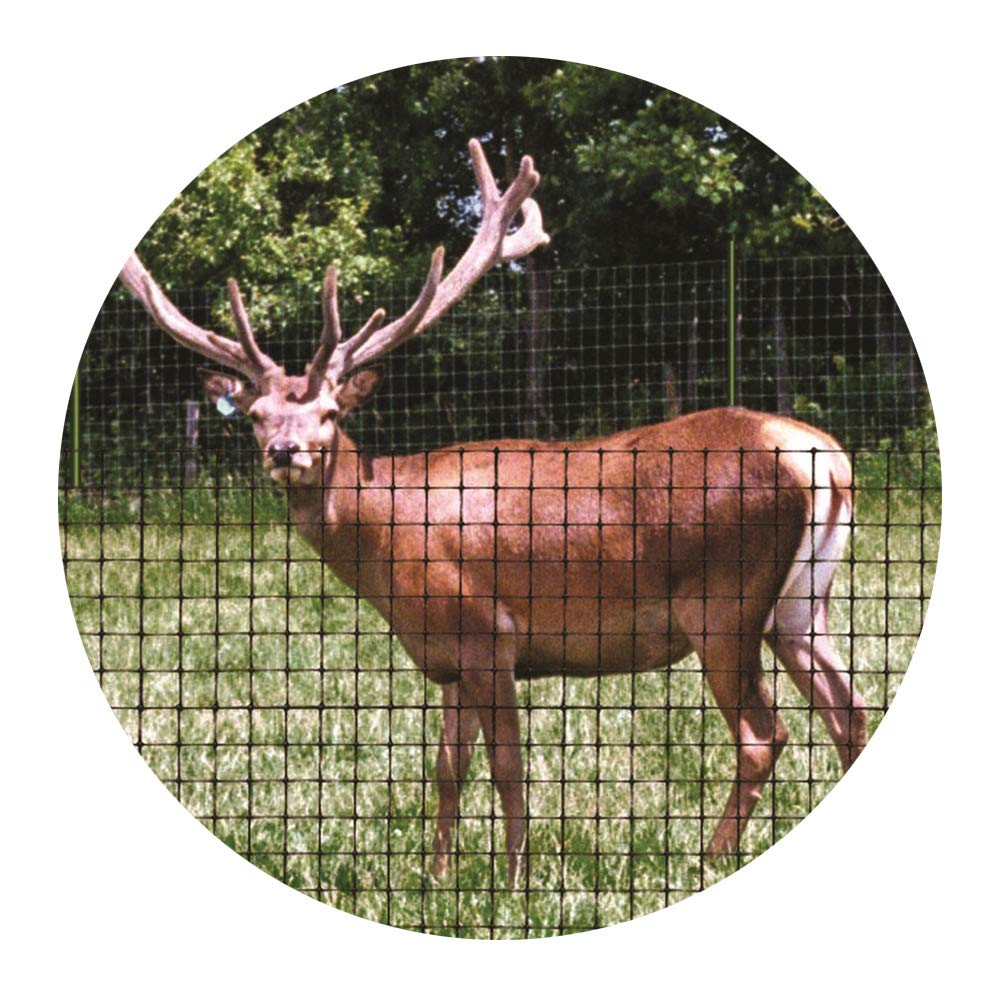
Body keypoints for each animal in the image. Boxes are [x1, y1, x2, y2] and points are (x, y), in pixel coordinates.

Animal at [119, 138, 867, 885]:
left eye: (329, 412)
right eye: (255, 416)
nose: (286, 450)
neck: (392, 542)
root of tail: (819, 457)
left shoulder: (488, 630)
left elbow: (508, 767)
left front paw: (514, 883)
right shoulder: (448, 654)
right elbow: (448, 768)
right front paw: (439, 877)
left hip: (723, 601)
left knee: (763, 735)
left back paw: (704, 862)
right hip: (802, 604)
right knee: (849, 710)